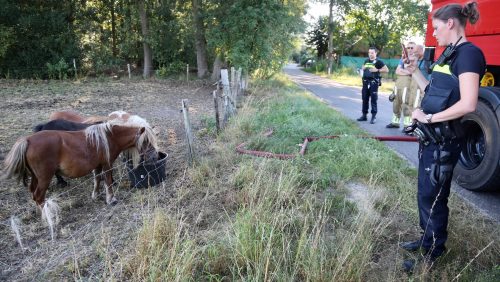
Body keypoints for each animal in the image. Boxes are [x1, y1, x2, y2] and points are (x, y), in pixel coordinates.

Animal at [1, 123, 146, 207]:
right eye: (145, 141)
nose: (147, 156)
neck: (109, 137)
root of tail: (28, 140)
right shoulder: (107, 164)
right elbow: (108, 182)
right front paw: (111, 199)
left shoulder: (98, 165)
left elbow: (97, 180)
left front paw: (96, 195)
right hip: (44, 178)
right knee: (38, 196)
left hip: (36, 177)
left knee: (33, 193)